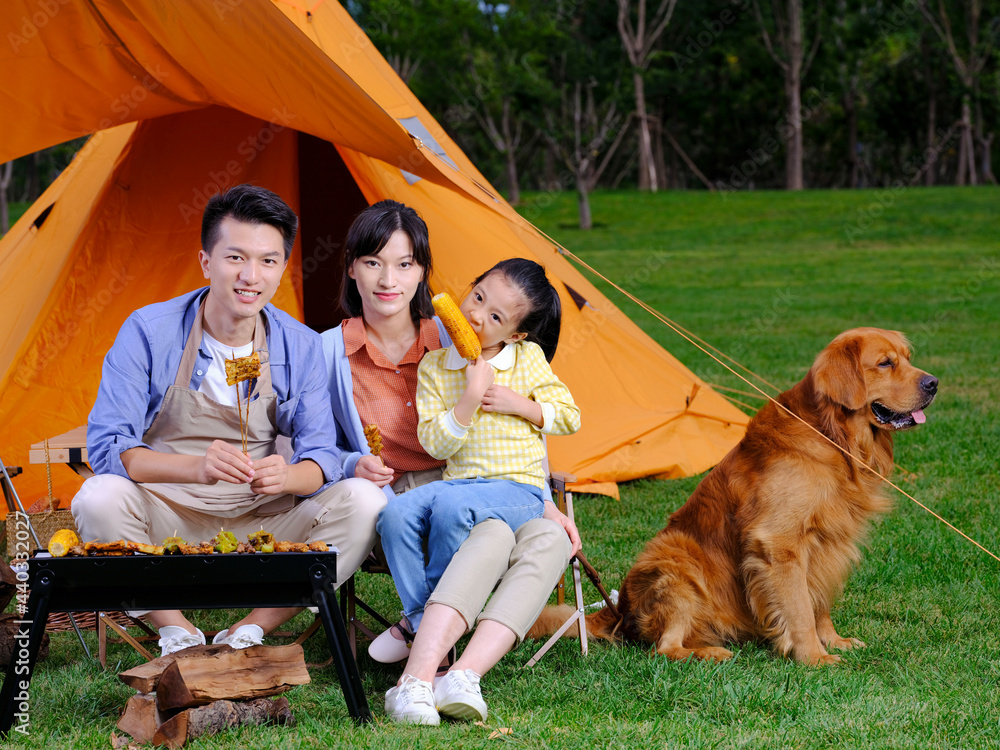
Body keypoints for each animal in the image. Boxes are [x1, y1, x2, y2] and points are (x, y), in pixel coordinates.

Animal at [532, 326, 936, 668]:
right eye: (885, 363)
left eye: (907, 357)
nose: (933, 383)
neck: (832, 437)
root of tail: (618, 608)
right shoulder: (780, 544)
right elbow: (801, 608)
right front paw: (814, 657)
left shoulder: (825, 542)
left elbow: (818, 601)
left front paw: (833, 641)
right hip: (677, 559)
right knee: (664, 648)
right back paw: (709, 653)